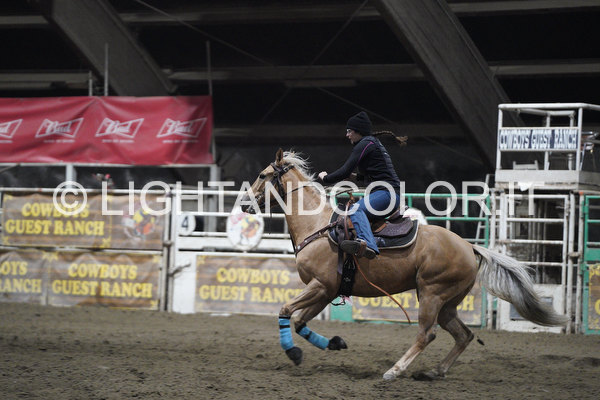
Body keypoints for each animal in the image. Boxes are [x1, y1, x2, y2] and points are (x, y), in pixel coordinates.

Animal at [240, 149, 568, 380]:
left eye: (262, 174)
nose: (244, 204)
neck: (318, 227)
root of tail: (470, 246)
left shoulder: (320, 286)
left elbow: (285, 311)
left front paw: (293, 352)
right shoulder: (326, 290)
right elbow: (299, 321)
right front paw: (335, 342)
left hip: (432, 294)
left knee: (427, 334)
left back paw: (394, 371)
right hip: (448, 302)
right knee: (463, 335)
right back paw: (435, 372)